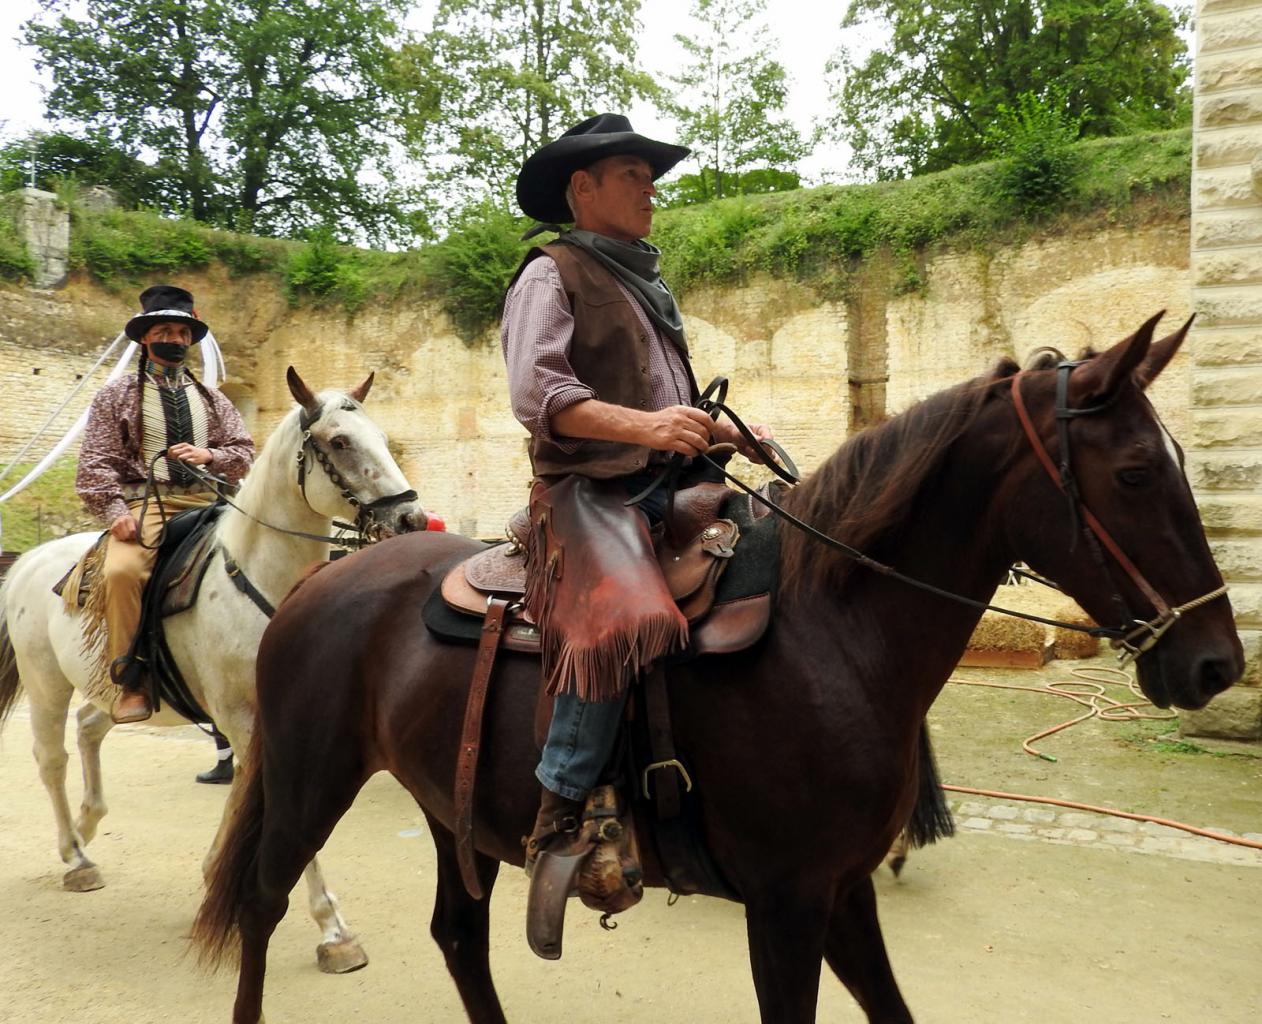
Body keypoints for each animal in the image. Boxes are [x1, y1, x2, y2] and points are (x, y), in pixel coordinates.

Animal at [0, 367, 427, 974]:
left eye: (384, 438)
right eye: (340, 441)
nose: (411, 518)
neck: (263, 580)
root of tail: (31, 560)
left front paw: (213, 876)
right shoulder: (244, 718)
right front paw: (332, 929)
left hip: (115, 689)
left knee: (89, 729)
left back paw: (87, 825)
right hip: (45, 684)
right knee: (52, 758)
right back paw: (75, 856)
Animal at [192, 314, 1243, 1023]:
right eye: (1137, 472)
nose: (1215, 664)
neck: (833, 633)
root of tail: (319, 586)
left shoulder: (841, 891)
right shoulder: (784, 906)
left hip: (455, 809)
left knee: (459, 934)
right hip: (310, 781)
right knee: (263, 904)